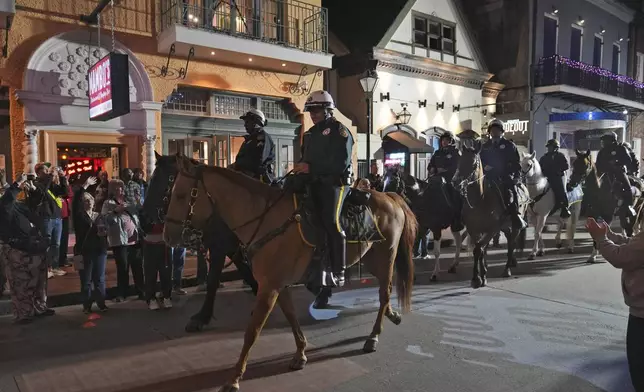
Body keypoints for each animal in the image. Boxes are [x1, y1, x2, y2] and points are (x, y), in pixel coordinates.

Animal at [142, 152, 258, 332]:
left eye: (166, 179)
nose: (144, 218)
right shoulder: (231, 249)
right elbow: (246, 272)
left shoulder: (219, 248)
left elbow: (212, 281)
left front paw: (201, 318)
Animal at [165, 156, 418, 392]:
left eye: (180, 195)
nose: (168, 237)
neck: (265, 219)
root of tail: (390, 197)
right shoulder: (278, 284)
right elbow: (291, 316)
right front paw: (301, 353)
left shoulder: (269, 287)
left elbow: (252, 331)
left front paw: (234, 378)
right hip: (371, 259)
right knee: (384, 292)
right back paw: (391, 315)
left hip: (386, 256)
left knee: (384, 292)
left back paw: (373, 336)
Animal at [450, 141, 524, 288]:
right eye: (459, 161)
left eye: (473, 164)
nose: (455, 183)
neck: (480, 200)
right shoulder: (474, 229)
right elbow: (481, 249)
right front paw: (482, 274)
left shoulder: (491, 230)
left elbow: (479, 249)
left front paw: (477, 278)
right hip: (505, 227)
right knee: (508, 240)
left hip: (515, 227)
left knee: (512, 244)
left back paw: (507, 269)